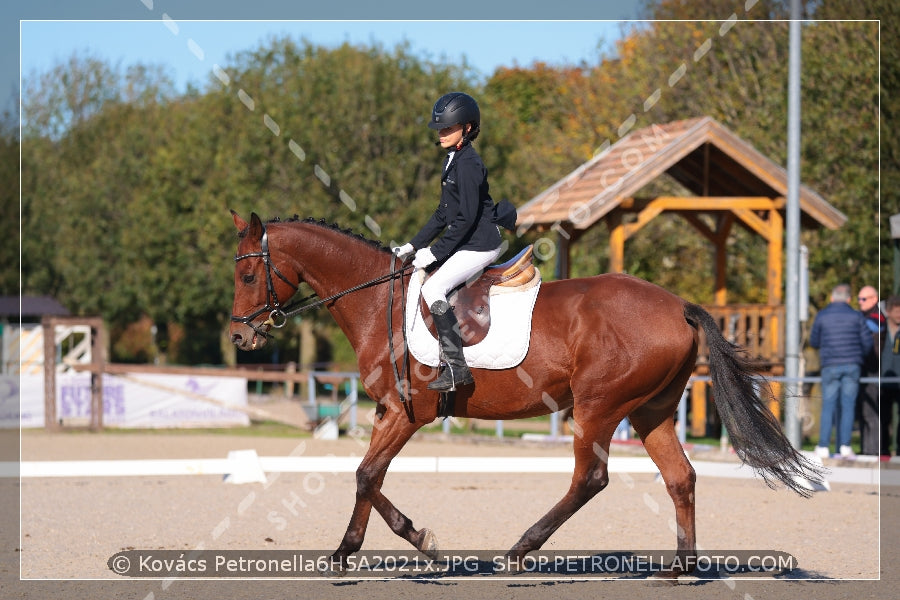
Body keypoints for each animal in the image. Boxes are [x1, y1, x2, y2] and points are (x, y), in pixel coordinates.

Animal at [227, 211, 824, 576]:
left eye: (250, 277)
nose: (239, 338)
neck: (380, 302)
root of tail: (677, 305)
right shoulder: (385, 413)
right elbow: (366, 479)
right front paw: (370, 546)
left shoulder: (405, 414)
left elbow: (367, 476)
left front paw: (392, 545)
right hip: (651, 412)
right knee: (680, 478)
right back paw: (682, 567)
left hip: (598, 407)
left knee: (591, 478)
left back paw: (519, 551)